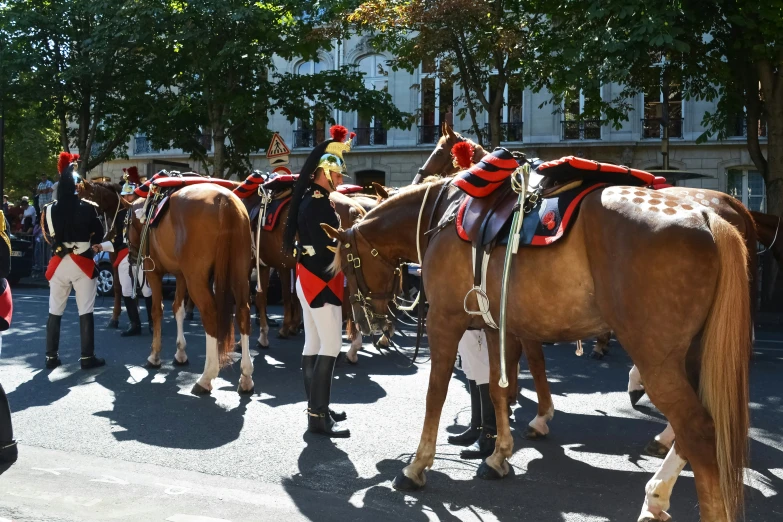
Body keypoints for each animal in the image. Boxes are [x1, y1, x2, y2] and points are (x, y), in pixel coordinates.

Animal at [127, 185, 253, 392]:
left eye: (126, 223)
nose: (130, 255)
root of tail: (224, 200)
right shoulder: (180, 276)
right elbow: (178, 309)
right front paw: (180, 353)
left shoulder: (155, 274)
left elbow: (157, 310)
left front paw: (155, 356)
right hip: (239, 273)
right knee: (243, 312)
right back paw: (246, 376)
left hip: (197, 280)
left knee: (210, 313)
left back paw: (206, 377)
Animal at [330, 176, 752, 520]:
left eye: (348, 266)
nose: (367, 323)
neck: (445, 217)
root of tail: (706, 217)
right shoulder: (495, 327)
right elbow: (498, 389)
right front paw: (498, 455)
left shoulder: (445, 323)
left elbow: (436, 393)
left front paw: (417, 467)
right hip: (690, 357)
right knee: (691, 432)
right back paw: (656, 495)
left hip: (656, 358)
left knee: (698, 432)